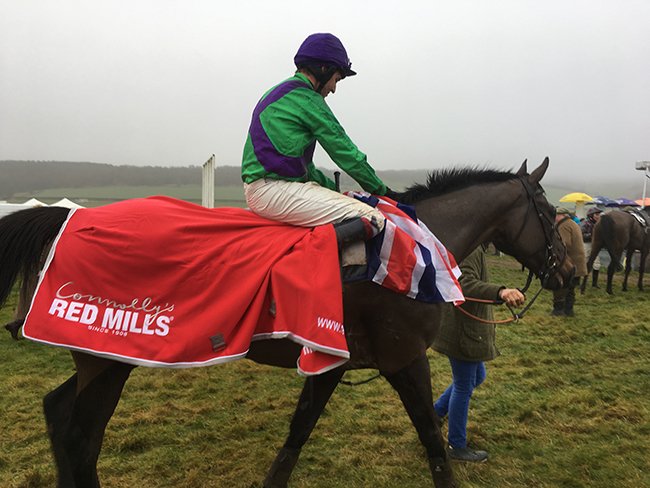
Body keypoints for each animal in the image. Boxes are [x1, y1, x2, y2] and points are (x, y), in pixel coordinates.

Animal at [0, 158, 573, 488]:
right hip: (109, 358)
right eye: (549, 211)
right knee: (81, 436)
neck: (408, 253)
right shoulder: (404, 358)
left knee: (61, 415)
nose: (567, 272)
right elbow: (433, 441)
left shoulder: (331, 361)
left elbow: (297, 435)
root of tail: (71, 217)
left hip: (99, 356)